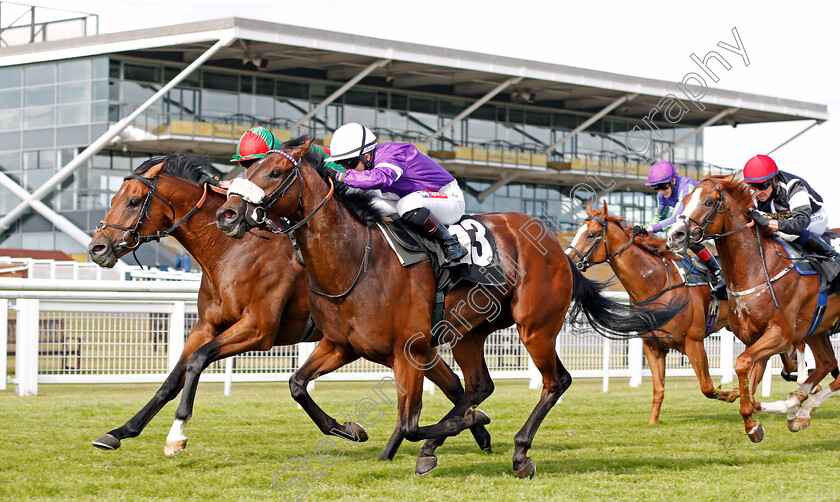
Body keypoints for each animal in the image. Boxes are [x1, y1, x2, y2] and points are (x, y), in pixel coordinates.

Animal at [83, 155, 492, 456]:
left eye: (133, 201)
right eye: (113, 199)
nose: (97, 248)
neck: (232, 251)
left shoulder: (257, 329)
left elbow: (197, 363)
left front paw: (176, 436)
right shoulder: (206, 325)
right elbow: (171, 380)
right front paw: (120, 431)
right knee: (455, 384)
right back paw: (477, 430)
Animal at [215, 138, 684, 478]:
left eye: (275, 172)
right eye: (247, 169)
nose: (227, 214)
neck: (354, 258)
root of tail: (558, 246)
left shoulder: (409, 351)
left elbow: (408, 421)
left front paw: (459, 428)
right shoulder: (343, 344)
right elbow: (297, 385)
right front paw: (349, 429)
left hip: (535, 327)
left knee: (556, 382)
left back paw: (518, 453)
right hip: (470, 334)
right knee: (479, 385)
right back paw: (444, 442)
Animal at [568, 201, 740, 424]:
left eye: (590, 235)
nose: (568, 260)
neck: (656, 284)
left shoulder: (694, 343)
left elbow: (707, 387)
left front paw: (735, 393)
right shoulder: (653, 347)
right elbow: (659, 389)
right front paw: (652, 422)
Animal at [668, 175, 840, 442]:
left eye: (709, 201)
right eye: (684, 201)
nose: (675, 235)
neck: (756, 270)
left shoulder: (781, 335)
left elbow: (741, 364)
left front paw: (753, 415)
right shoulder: (755, 339)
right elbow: (748, 378)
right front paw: (752, 421)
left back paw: (797, 406)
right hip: (817, 329)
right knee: (826, 364)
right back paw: (798, 408)